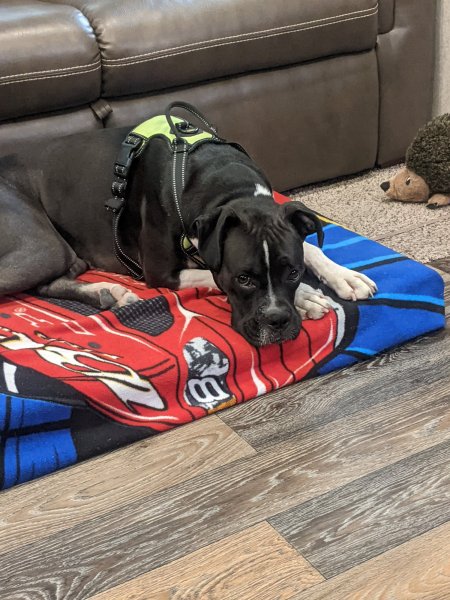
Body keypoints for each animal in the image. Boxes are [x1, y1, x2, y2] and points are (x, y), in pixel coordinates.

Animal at [0, 106, 376, 347]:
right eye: (243, 278)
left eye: (293, 272)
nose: (277, 322)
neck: (223, 183)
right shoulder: (161, 273)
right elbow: (213, 275)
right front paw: (308, 297)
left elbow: (310, 245)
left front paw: (343, 276)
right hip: (44, 247)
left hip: (60, 253)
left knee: (50, 282)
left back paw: (108, 292)